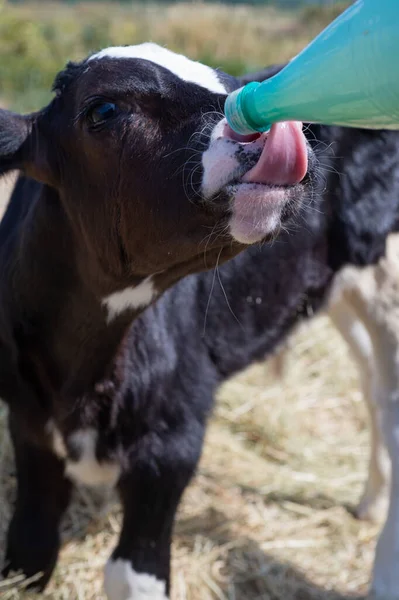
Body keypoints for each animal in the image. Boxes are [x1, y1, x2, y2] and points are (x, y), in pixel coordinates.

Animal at [0, 43, 398, 600]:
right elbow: (29, 549)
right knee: (377, 391)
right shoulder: (28, 420)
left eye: (231, 84)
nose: (274, 126)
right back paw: (370, 504)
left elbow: (132, 574)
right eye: (104, 109)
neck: (81, 372)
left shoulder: (174, 434)